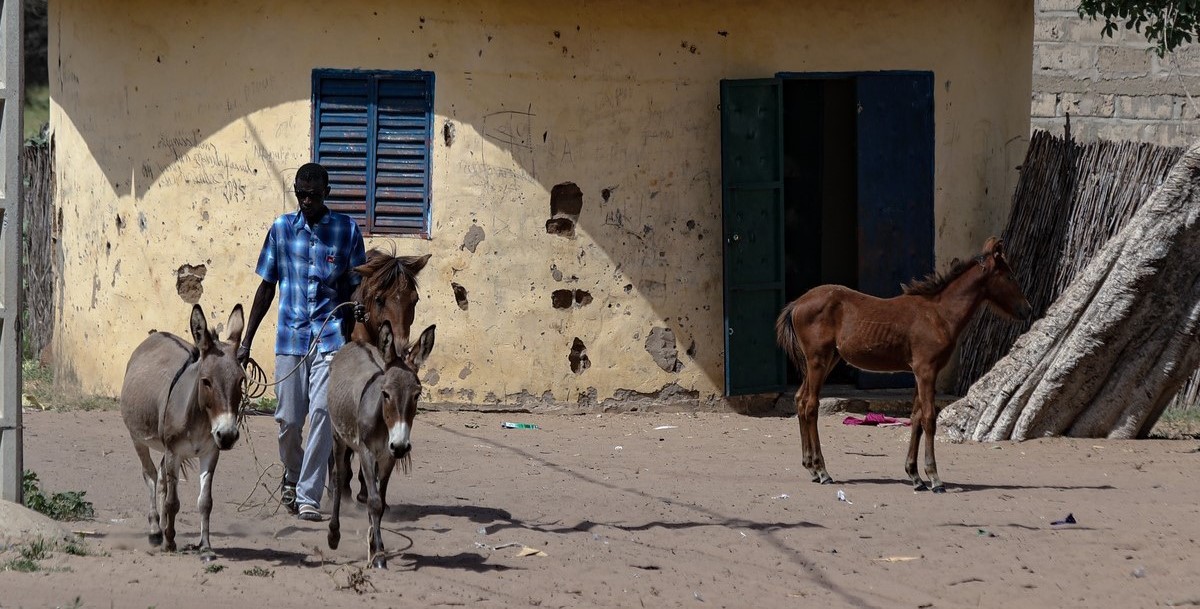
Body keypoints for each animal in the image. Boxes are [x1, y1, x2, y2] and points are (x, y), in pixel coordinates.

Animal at [120, 304, 245, 555]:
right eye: (206, 381)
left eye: (241, 381)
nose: (228, 435)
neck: (199, 420)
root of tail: (157, 334)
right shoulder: (174, 452)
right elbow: (172, 502)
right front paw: (169, 542)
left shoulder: (210, 453)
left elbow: (205, 502)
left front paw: (205, 546)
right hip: (138, 438)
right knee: (150, 475)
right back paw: (155, 531)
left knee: (160, 479)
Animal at [326, 321, 436, 569]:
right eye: (385, 394)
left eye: (417, 395)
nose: (401, 446)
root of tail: (355, 343)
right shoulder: (366, 451)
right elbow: (375, 502)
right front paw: (378, 556)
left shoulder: (387, 457)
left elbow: (380, 501)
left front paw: (376, 548)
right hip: (338, 435)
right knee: (338, 476)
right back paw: (334, 534)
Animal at [774, 237, 1032, 493]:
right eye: (1010, 276)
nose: (1027, 309)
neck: (939, 314)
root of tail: (797, 303)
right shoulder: (926, 370)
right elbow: (929, 417)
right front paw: (934, 478)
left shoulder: (920, 372)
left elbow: (916, 417)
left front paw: (915, 476)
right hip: (817, 359)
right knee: (810, 405)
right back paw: (822, 471)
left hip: (827, 360)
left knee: (800, 399)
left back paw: (810, 467)